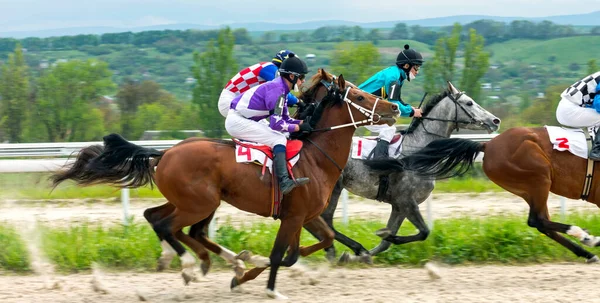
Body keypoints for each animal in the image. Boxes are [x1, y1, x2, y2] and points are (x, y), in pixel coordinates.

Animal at [300, 82, 502, 264]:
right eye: (469, 103)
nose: (496, 120)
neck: (417, 151)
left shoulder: (399, 205)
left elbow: (387, 243)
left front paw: (361, 253)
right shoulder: (407, 201)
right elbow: (424, 232)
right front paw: (376, 240)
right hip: (334, 188)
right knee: (325, 220)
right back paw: (335, 249)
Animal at [366, 127, 600, 262]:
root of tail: (487, 143)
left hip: (531, 187)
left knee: (542, 223)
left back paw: (587, 251)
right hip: (539, 177)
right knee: (538, 220)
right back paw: (586, 237)